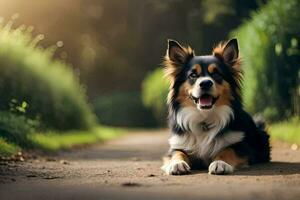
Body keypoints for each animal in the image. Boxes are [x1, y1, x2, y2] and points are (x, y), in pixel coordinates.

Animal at [161, 38, 270, 175]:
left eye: (217, 74)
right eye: (193, 75)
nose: (205, 83)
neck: (205, 118)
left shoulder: (242, 146)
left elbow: (227, 150)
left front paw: (220, 163)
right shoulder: (178, 144)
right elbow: (177, 153)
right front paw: (177, 164)